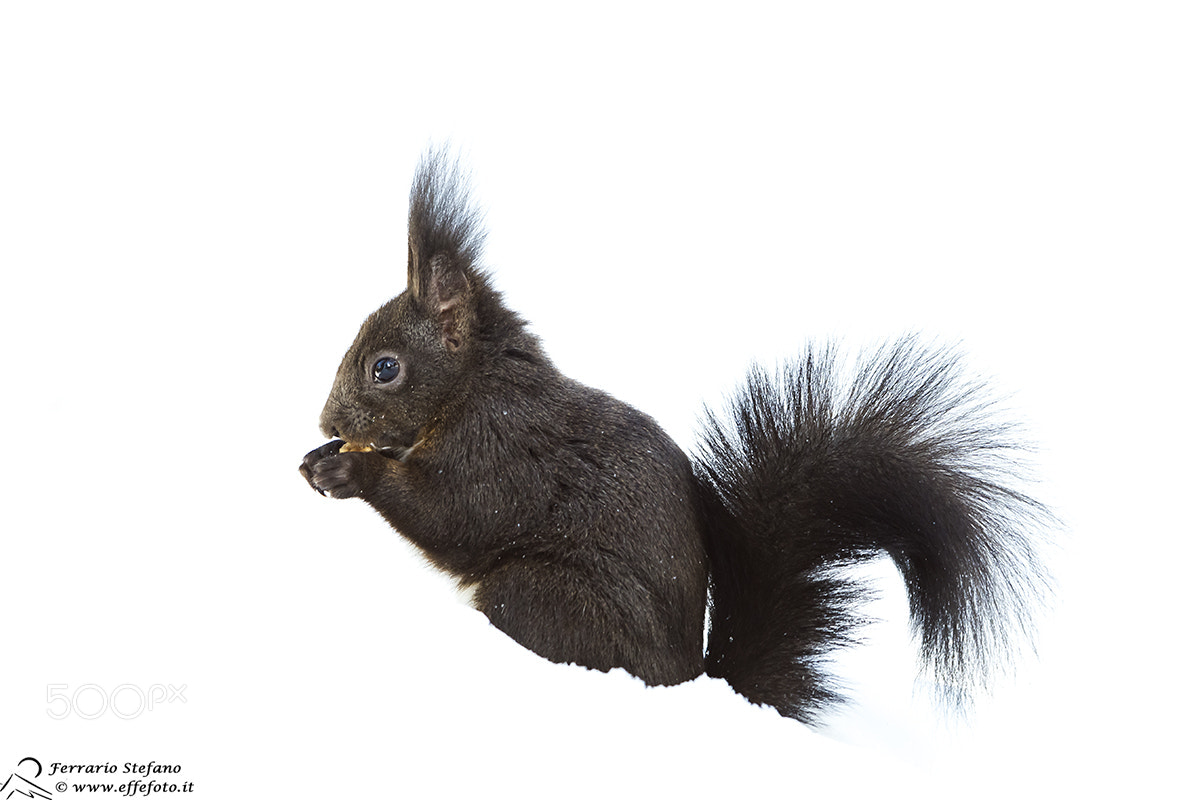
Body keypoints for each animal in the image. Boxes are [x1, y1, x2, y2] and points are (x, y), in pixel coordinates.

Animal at [299, 148, 1051, 723]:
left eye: (385, 367)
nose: (329, 424)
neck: (473, 388)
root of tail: (690, 674)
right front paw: (321, 458)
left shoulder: (501, 451)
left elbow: (453, 516)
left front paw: (350, 471)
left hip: (540, 595)